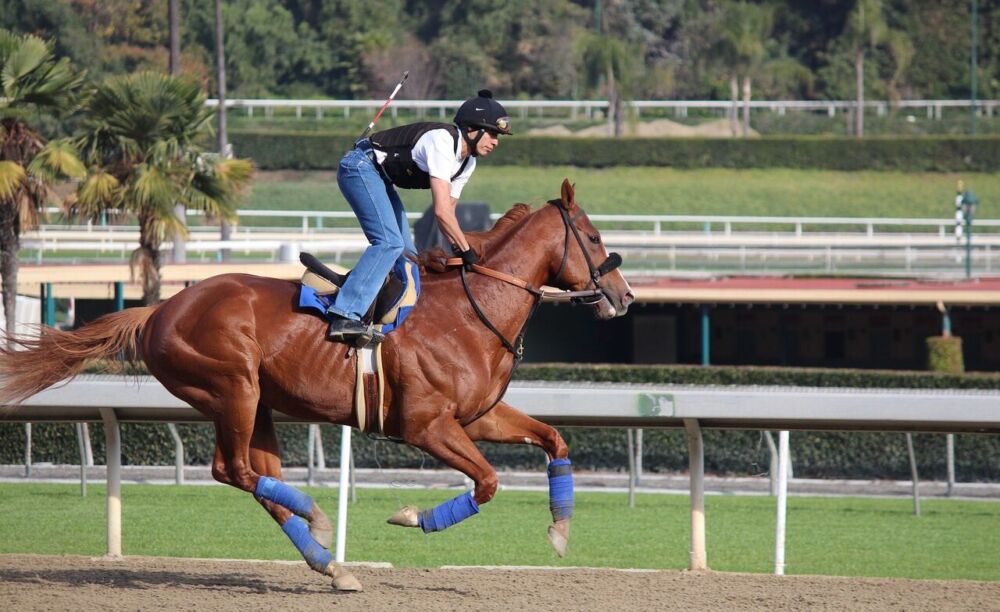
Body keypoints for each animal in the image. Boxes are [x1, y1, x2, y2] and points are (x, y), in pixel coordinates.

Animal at [0, 179, 632, 592]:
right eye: (594, 236)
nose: (624, 296)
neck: (471, 310)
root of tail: (159, 308)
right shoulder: (425, 426)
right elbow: (488, 481)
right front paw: (414, 518)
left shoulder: (477, 416)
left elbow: (552, 439)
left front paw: (560, 531)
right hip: (232, 387)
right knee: (234, 470)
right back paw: (321, 524)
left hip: (258, 405)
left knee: (256, 477)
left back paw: (331, 563)